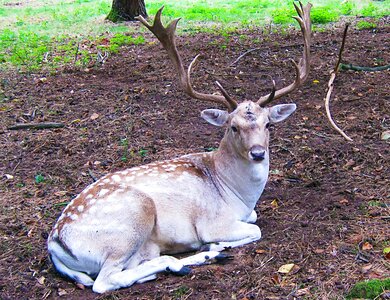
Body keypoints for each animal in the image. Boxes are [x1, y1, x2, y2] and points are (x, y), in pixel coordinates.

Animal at [47, 1, 312, 292]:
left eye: (268, 125)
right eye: (233, 127)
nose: (257, 153)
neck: (237, 193)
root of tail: (55, 245)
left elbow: (254, 218)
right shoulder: (213, 221)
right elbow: (255, 229)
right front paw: (214, 243)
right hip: (132, 220)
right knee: (105, 281)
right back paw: (192, 258)